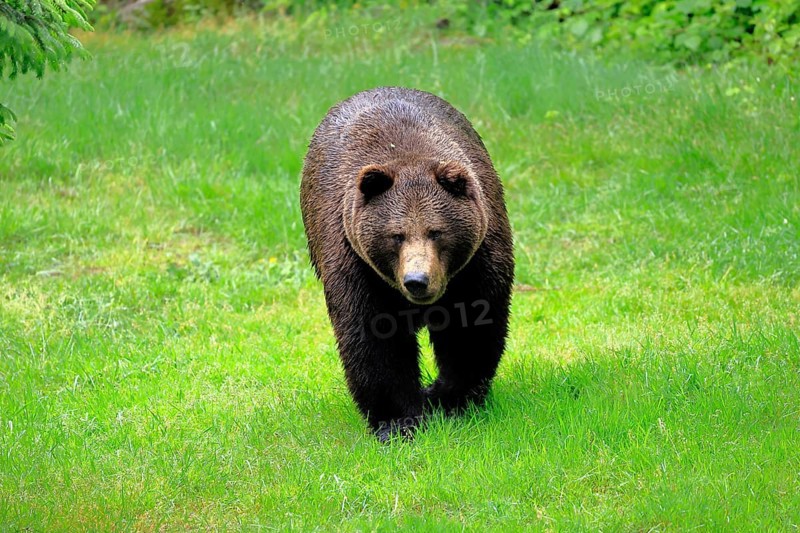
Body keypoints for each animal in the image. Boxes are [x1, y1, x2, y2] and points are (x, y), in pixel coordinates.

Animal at [300, 87, 514, 441]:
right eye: (396, 235)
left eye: (436, 231)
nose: (417, 280)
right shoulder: (357, 266)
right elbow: (375, 340)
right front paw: (399, 421)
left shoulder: (475, 264)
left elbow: (471, 326)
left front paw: (452, 400)